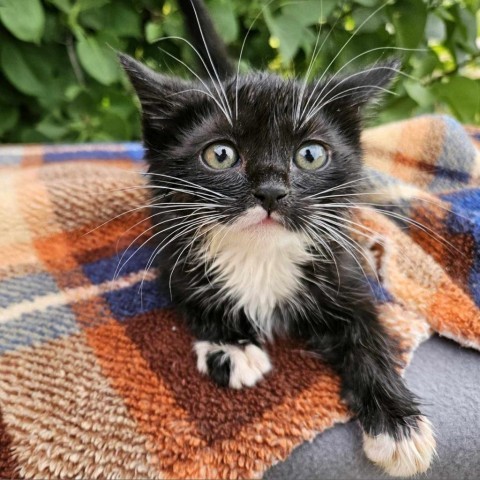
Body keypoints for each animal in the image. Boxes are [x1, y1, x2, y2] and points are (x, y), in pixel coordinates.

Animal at [119, 0, 436, 476]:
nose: (271, 191)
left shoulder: (340, 266)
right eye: (220, 154)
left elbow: (367, 332)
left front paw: (399, 425)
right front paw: (230, 346)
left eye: (310, 154)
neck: (261, 255)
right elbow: (193, 296)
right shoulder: (171, 248)